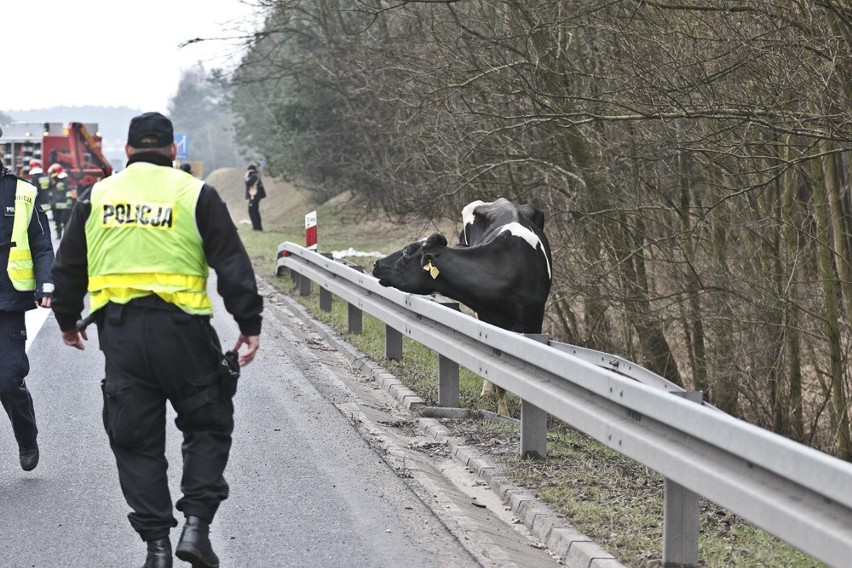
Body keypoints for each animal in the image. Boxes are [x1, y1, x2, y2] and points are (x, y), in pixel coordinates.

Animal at [372, 200, 552, 418]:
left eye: (407, 251)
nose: (376, 263)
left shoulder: (534, 322)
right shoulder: (489, 321)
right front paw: (502, 411)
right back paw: (486, 391)